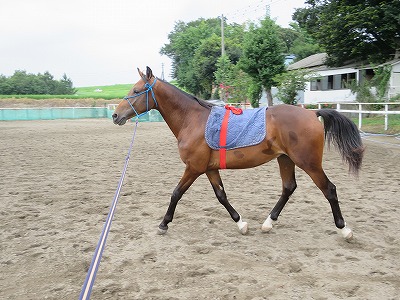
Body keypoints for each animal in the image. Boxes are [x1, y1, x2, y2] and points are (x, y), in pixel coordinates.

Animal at [111, 67, 362, 240]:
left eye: (136, 91)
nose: (115, 115)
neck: (192, 120)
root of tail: (312, 113)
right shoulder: (209, 169)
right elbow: (221, 196)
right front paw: (240, 223)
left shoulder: (193, 168)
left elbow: (176, 193)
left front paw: (164, 224)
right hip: (285, 159)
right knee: (288, 188)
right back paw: (268, 223)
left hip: (308, 163)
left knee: (329, 189)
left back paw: (345, 229)